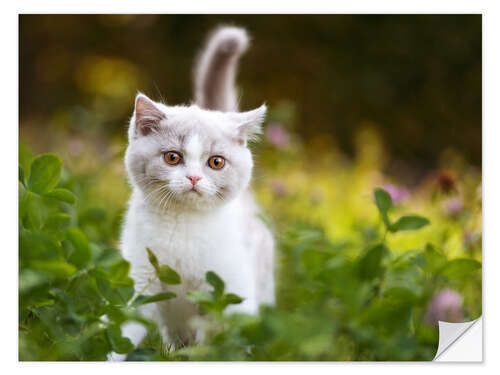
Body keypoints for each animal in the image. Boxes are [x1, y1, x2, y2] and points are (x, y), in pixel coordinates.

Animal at [110, 25, 274, 360]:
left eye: (216, 162)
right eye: (173, 157)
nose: (194, 177)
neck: (183, 224)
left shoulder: (231, 284)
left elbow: (226, 332)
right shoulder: (142, 277)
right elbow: (126, 325)